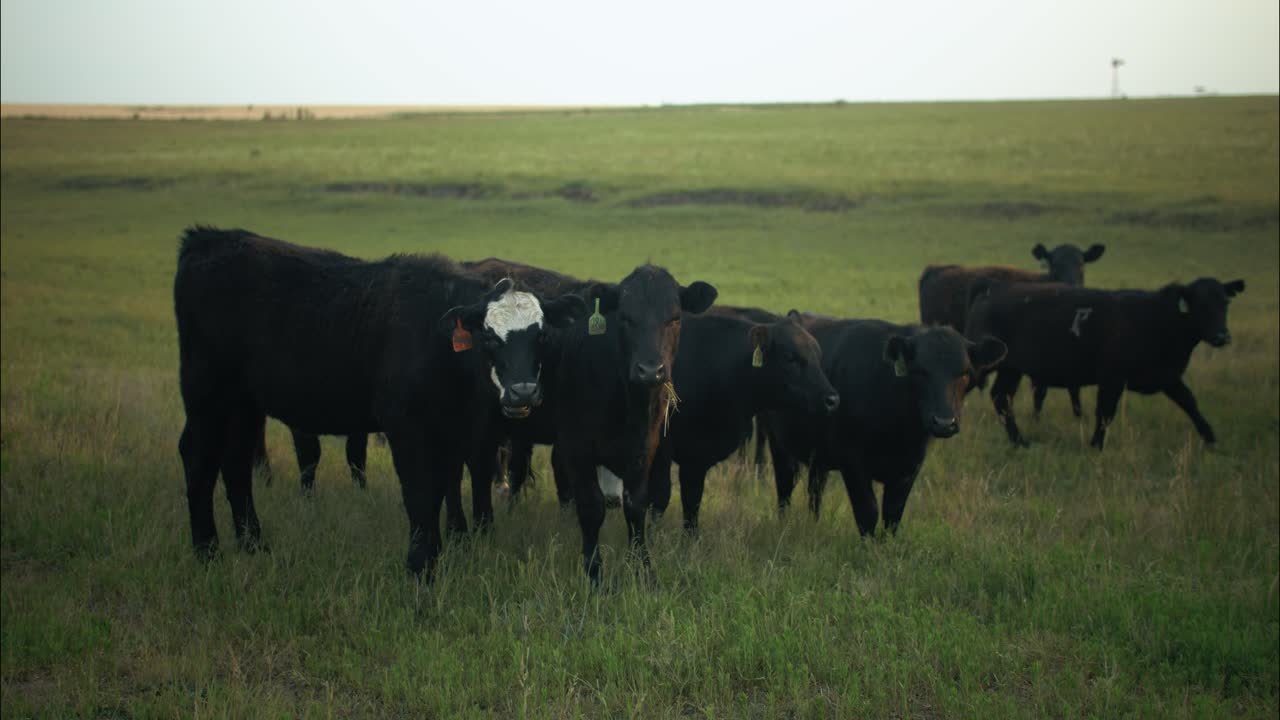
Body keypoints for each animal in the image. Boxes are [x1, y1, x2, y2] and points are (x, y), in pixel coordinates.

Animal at [173, 227, 583, 579]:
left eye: (541, 334)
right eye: (490, 336)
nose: (523, 392)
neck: (432, 337)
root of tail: (205, 240)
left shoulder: (450, 431)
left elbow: (440, 492)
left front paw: (439, 552)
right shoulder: (405, 429)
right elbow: (419, 495)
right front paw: (420, 567)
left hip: (243, 404)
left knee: (236, 463)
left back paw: (253, 546)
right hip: (206, 393)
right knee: (198, 457)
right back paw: (207, 551)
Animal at [647, 311, 839, 532]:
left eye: (819, 356)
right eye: (790, 358)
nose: (832, 399)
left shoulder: (696, 456)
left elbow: (692, 504)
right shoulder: (662, 447)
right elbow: (659, 498)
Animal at [765, 316, 1006, 536]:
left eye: (964, 373)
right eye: (920, 371)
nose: (944, 423)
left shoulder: (910, 468)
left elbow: (892, 515)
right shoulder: (852, 462)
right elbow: (868, 512)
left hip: (818, 456)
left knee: (815, 491)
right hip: (778, 444)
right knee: (784, 488)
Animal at [918, 243, 1105, 416]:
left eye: (1082, 264)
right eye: (1054, 264)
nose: (1071, 284)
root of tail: (936, 269)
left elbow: (1071, 388)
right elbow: (1040, 392)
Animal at [965, 277, 1245, 449]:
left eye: (1225, 302)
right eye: (1201, 304)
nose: (1223, 336)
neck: (1157, 317)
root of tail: (991, 288)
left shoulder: (1167, 376)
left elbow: (1189, 402)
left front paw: (1211, 439)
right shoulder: (1112, 378)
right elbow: (1105, 412)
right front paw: (1096, 445)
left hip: (1011, 369)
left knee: (1001, 397)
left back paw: (1019, 441)